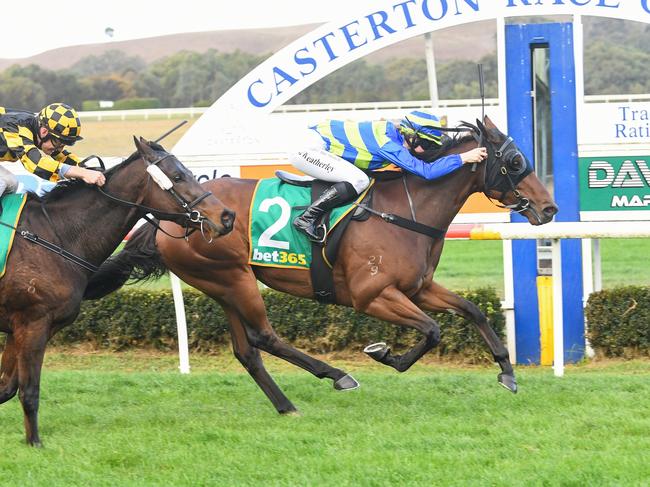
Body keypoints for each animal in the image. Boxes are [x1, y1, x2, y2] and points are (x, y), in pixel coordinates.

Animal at [0, 137, 233, 446]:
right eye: (177, 176)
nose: (227, 216)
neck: (52, 235)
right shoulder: (33, 323)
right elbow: (28, 391)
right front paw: (34, 442)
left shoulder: (21, 327)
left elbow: (6, 387)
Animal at [83, 117, 556, 416]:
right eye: (516, 162)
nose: (549, 207)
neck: (405, 210)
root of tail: (172, 220)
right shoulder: (373, 296)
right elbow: (432, 330)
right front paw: (384, 354)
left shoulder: (418, 288)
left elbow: (473, 311)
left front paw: (507, 373)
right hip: (232, 277)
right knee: (264, 336)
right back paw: (337, 375)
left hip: (221, 284)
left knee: (247, 351)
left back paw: (286, 405)